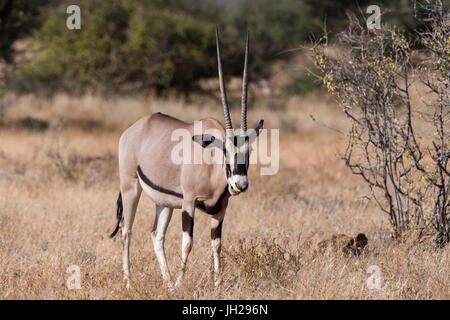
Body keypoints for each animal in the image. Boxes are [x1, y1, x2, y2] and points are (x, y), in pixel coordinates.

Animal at [109, 28, 264, 288]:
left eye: (249, 151)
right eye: (225, 151)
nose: (240, 184)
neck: (211, 164)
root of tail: (133, 129)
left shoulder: (220, 209)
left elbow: (217, 245)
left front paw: (216, 285)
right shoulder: (189, 202)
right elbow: (187, 243)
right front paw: (182, 283)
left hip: (164, 202)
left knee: (156, 235)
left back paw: (168, 283)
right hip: (131, 187)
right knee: (126, 232)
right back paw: (130, 282)